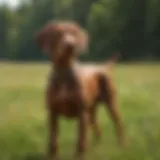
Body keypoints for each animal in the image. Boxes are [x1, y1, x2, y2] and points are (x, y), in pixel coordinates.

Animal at [35, 20, 125, 159]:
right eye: (58, 33)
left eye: (73, 33)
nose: (70, 45)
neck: (64, 73)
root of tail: (103, 68)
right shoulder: (52, 112)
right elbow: (53, 140)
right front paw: (52, 155)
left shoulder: (82, 112)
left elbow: (80, 140)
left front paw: (80, 155)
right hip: (92, 110)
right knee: (97, 128)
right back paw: (96, 147)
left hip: (110, 104)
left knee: (118, 124)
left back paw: (122, 146)